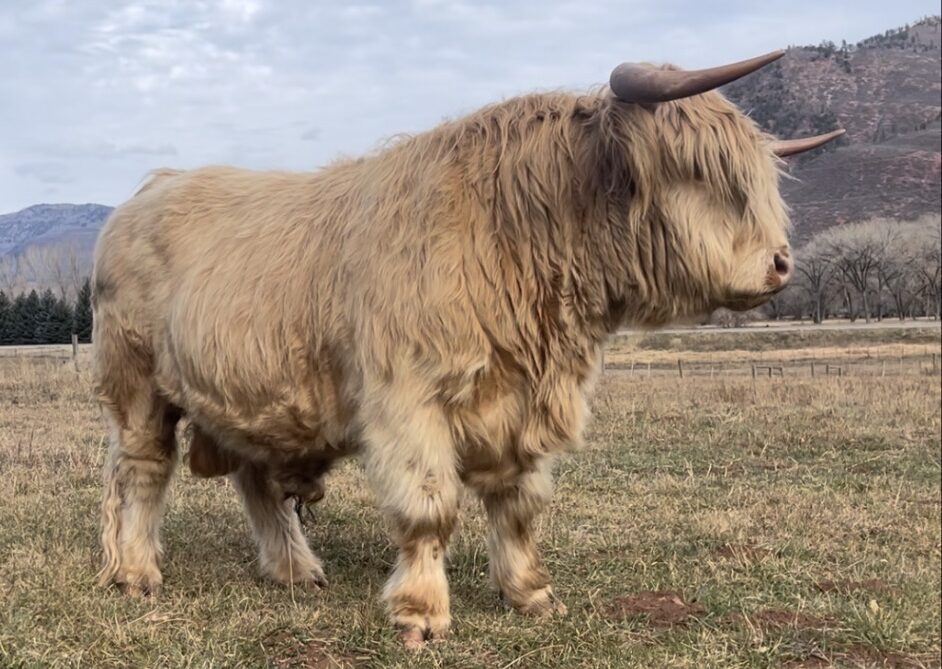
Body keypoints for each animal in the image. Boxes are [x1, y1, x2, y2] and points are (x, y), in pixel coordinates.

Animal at [92, 50, 843, 647]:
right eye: (699, 170)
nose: (782, 263)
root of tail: (154, 185)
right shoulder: (408, 400)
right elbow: (430, 508)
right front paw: (421, 612)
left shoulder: (526, 406)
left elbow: (519, 507)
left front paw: (531, 593)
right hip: (137, 383)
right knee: (141, 471)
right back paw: (135, 570)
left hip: (251, 394)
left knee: (255, 480)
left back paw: (295, 570)